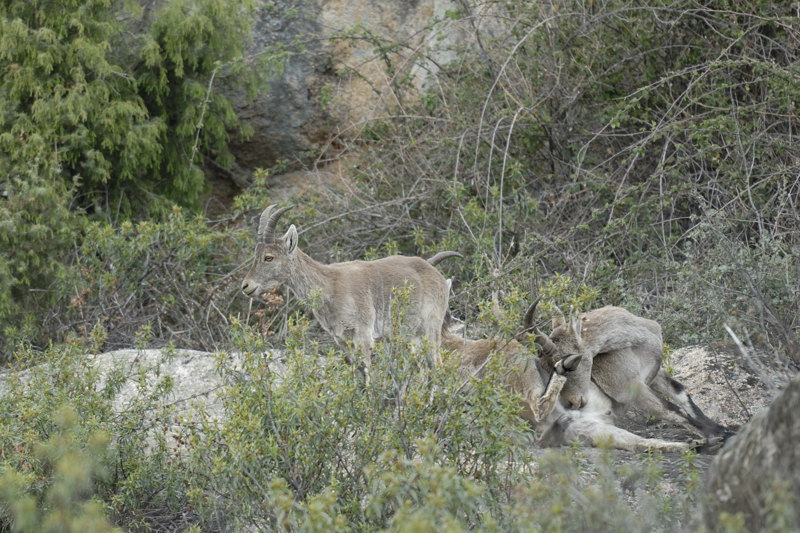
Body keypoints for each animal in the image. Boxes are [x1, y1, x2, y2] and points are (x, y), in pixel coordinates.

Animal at [241, 204, 456, 366]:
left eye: (269, 257)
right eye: (255, 254)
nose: (246, 286)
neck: (329, 286)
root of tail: (438, 277)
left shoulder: (363, 335)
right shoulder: (342, 340)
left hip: (431, 328)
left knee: (437, 365)